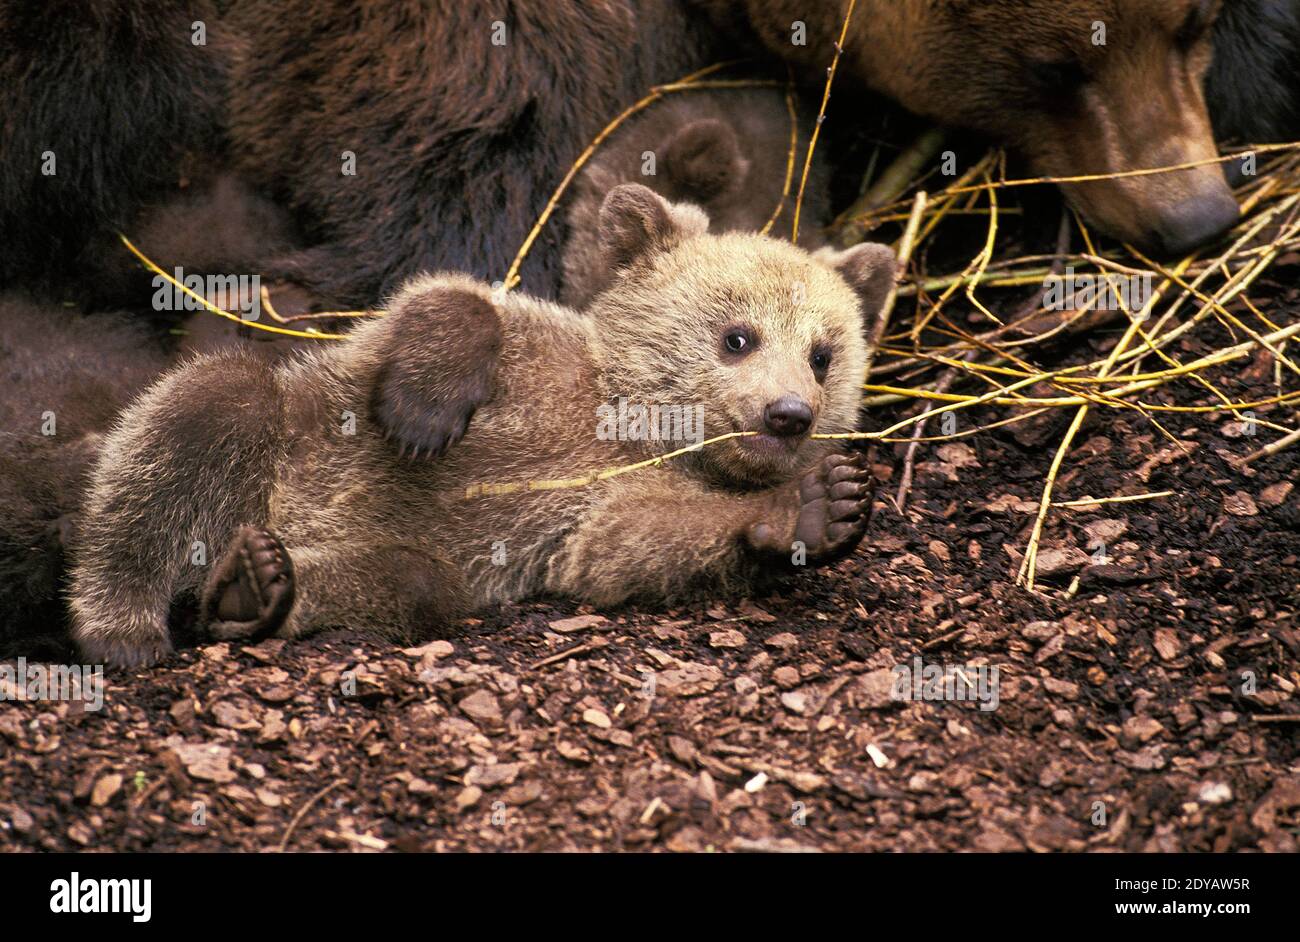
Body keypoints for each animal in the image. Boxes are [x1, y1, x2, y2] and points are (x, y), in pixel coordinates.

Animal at [68, 184, 898, 668]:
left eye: (824, 354)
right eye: (737, 336)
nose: (787, 414)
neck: (629, 423)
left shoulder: (601, 503)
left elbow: (633, 542)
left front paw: (817, 506)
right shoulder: (523, 357)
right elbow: (446, 300)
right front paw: (423, 413)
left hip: (410, 557)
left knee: (407, 581)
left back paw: (254, 585)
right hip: (280, 438)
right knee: (191, 429)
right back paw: (123, 628)